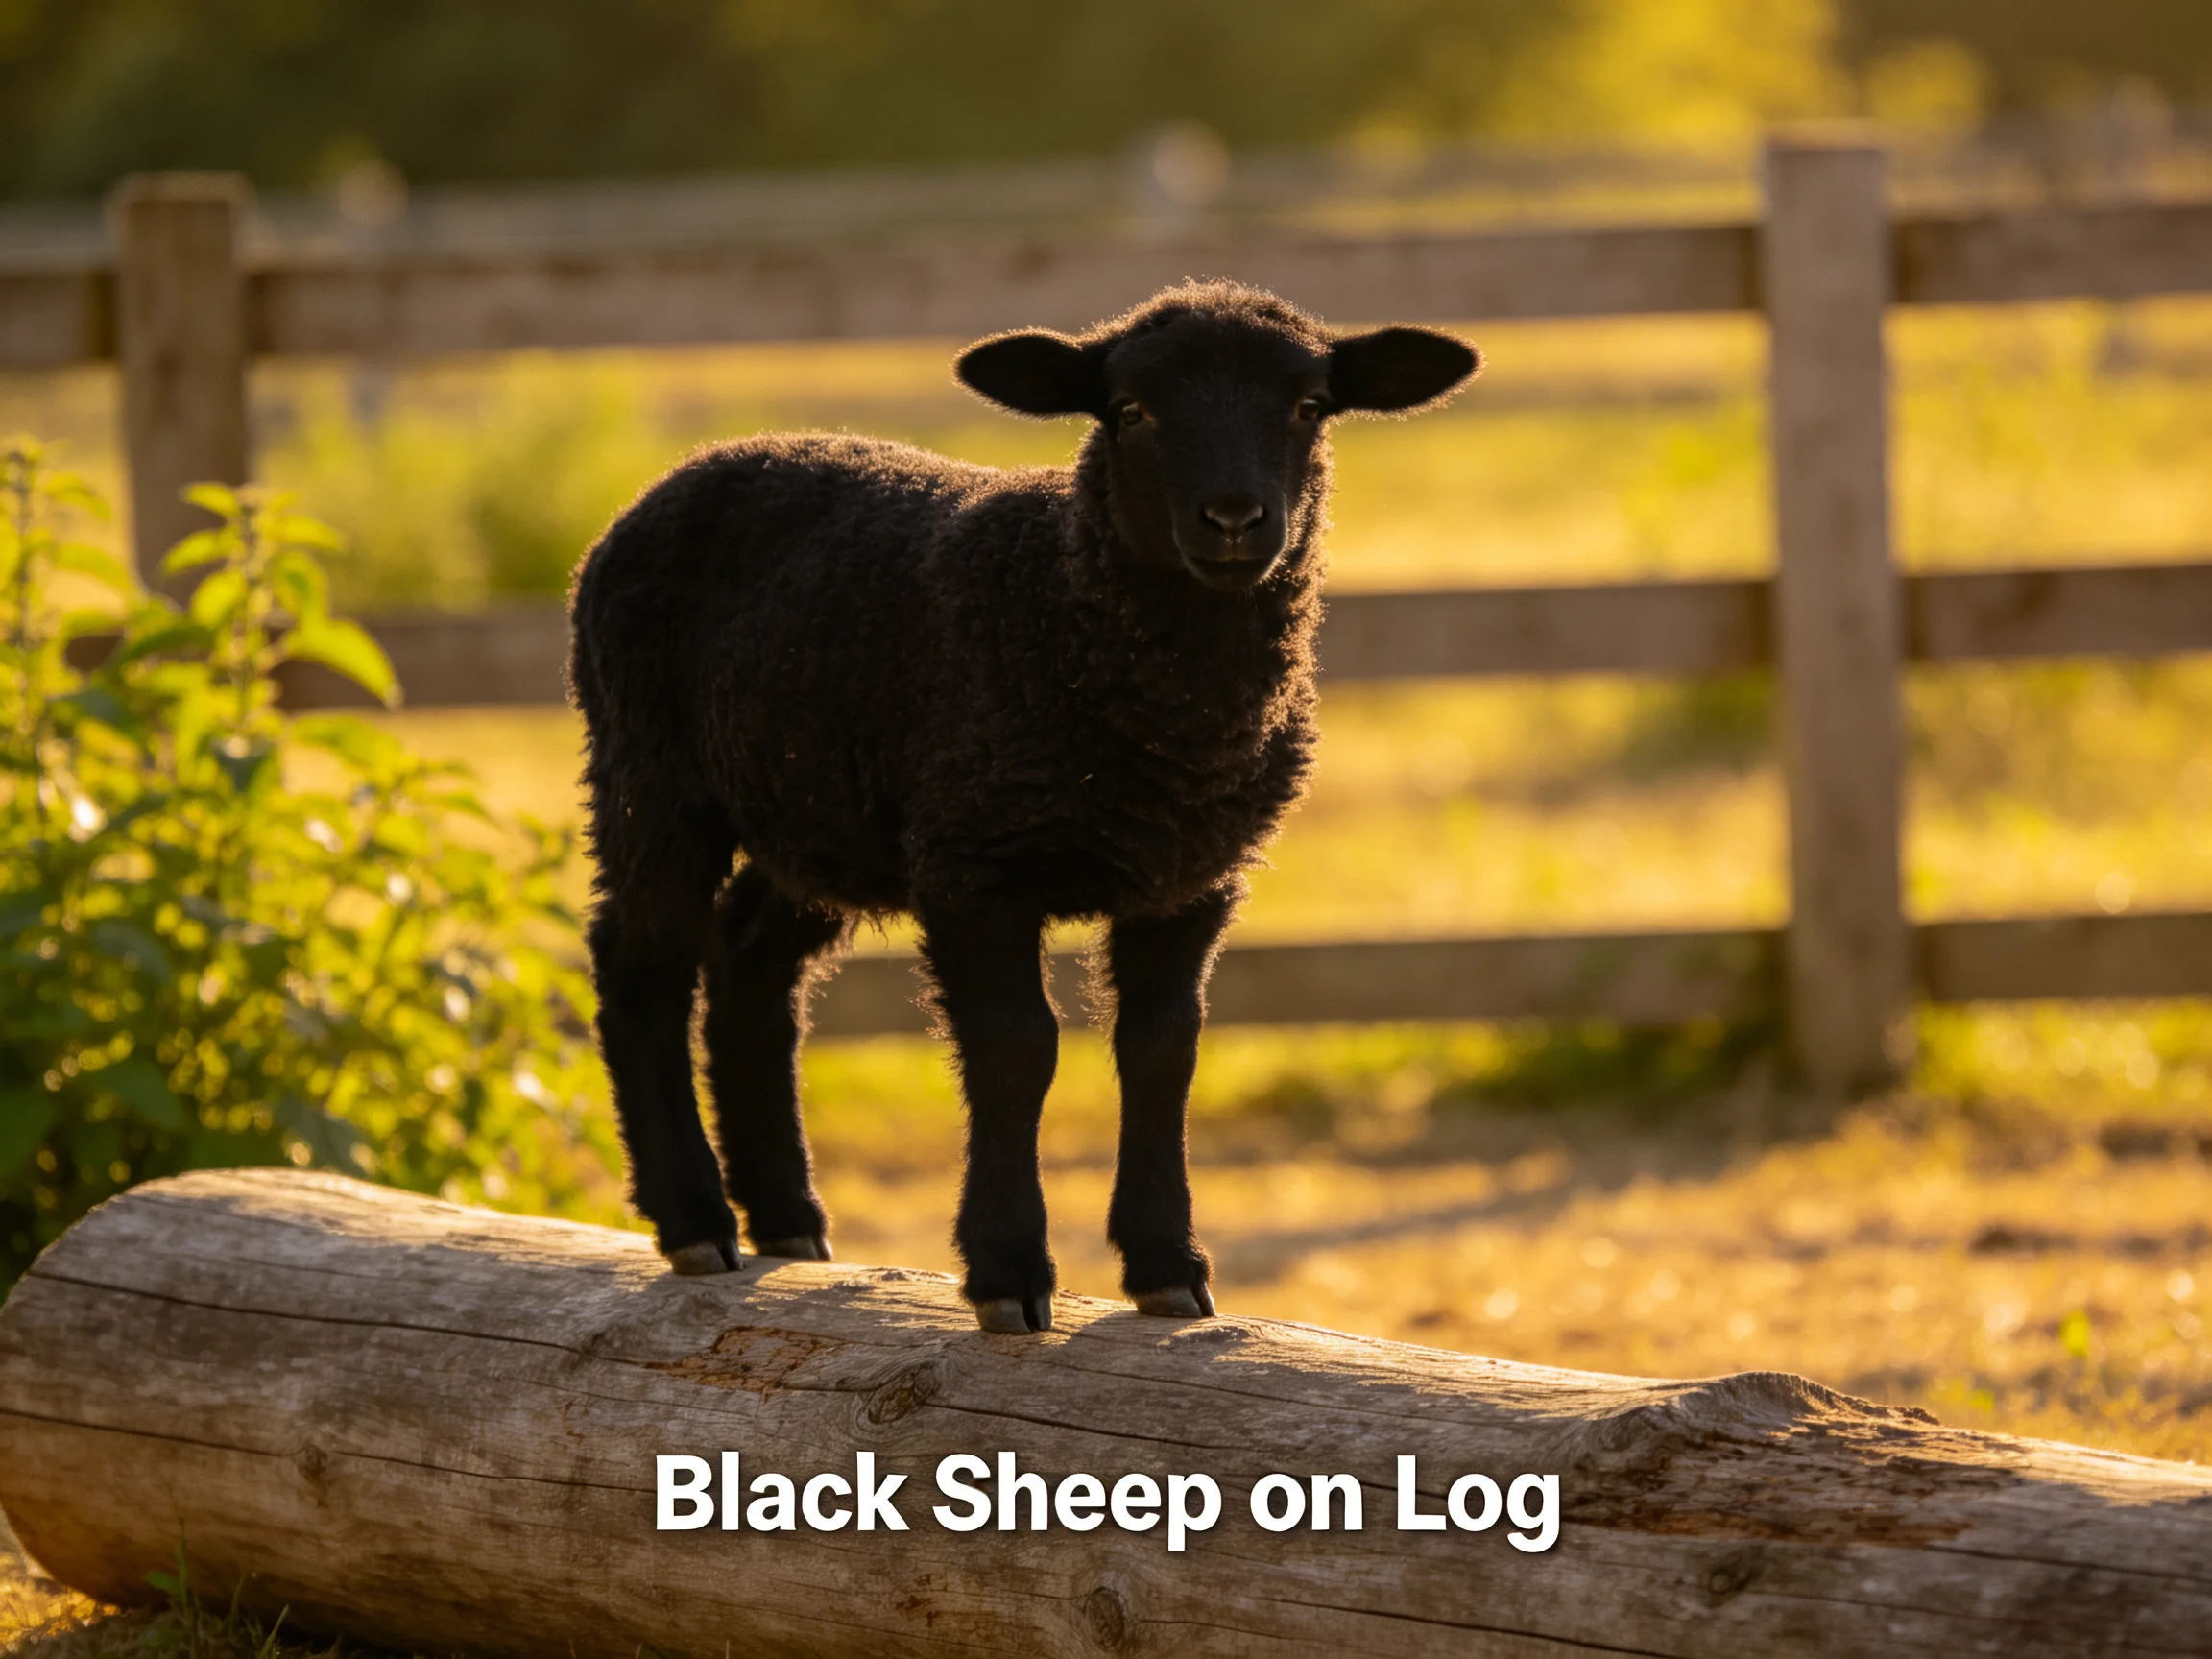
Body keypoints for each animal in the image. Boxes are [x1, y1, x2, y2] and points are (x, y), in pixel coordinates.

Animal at [568, 280, 1478, 1332]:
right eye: (1130, 411)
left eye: (1310, 405)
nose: (1234, 519)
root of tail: (693, 468)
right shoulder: (976, 864)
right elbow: (1017, 1050)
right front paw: (1008, 1269)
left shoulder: (1189, 879)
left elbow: (1162, 1050)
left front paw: (1167, 1265)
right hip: (650, 773)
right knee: (641, 968)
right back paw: (695, 1220)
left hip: (818, 810)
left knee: (750, 962)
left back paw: (789, 1219)